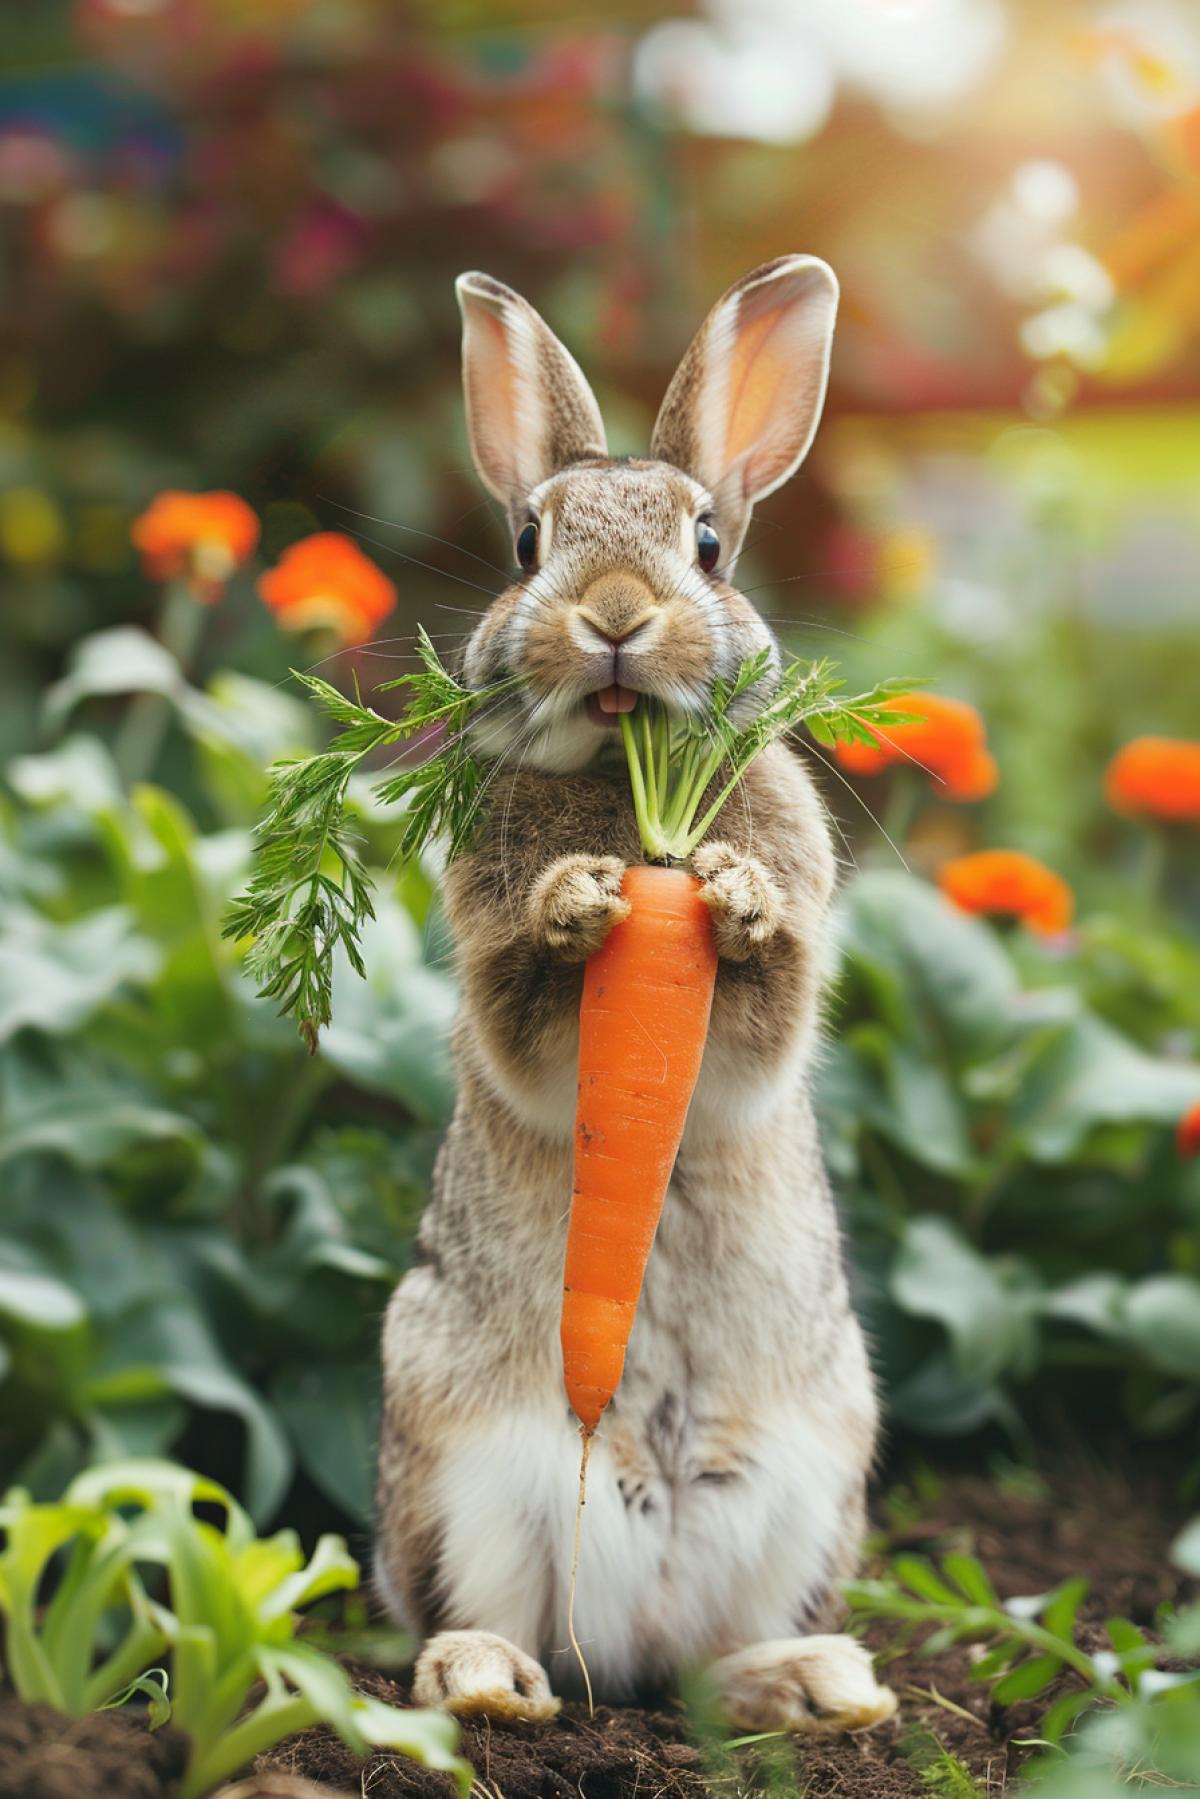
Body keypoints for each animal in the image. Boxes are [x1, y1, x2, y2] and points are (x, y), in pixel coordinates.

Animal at [374, 257, 896, 1734]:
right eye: (524, 545)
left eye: (707, 543)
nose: (613, 614)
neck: (626, 777)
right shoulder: (500, 983)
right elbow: (528, 1010)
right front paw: (581, 905)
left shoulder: (768, 1021)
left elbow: (767, 1003)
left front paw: (733, 895)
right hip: (464, 1470)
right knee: (492, 1621)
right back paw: (488, 1681)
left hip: (812, 1478)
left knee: (714, 1661)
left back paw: (820, 1684)